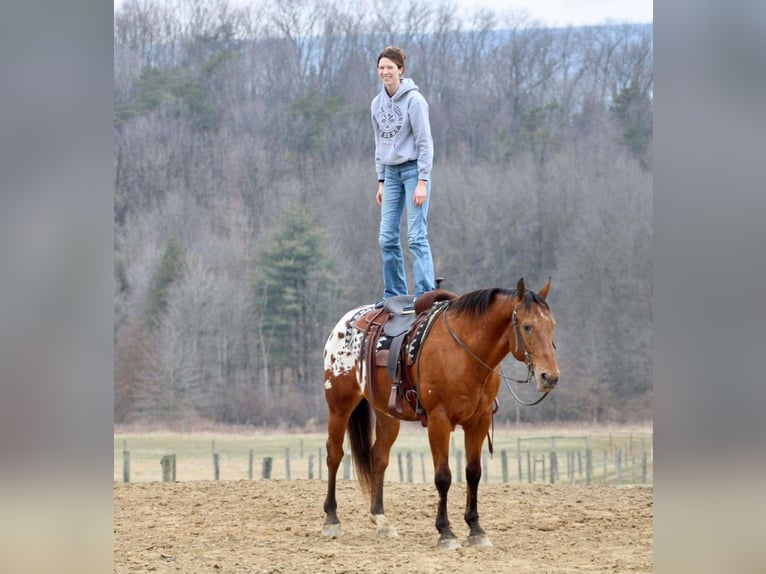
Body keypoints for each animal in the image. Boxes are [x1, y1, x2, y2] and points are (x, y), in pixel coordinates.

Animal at [320, 280, 560, 552]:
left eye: (552, 325)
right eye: (527, 326)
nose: (549, 377)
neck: (464, 351)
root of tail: (344, 323)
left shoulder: (479, 421)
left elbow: (473, 472)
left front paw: (476, 529)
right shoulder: (439, 421)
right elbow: (443, 476)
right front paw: (446, 532)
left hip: (387, 415)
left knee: (379, 457)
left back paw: (381, 519)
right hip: (339, 404)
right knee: (334, 454)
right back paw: (332, 519)